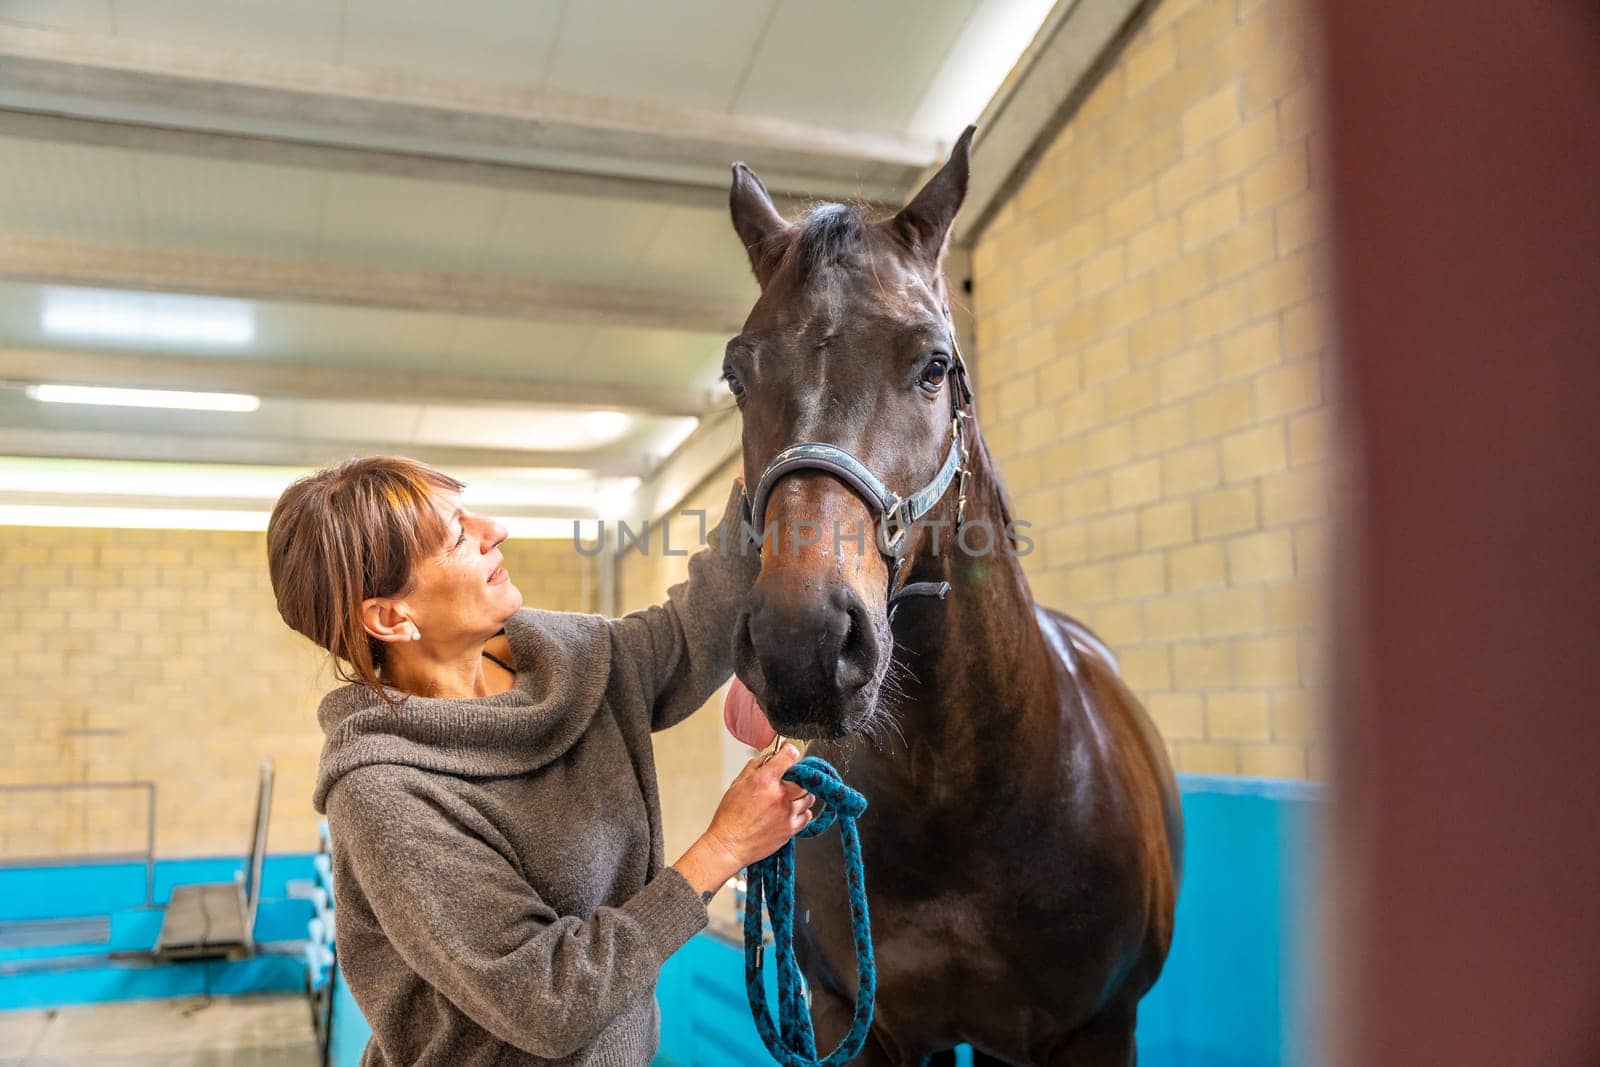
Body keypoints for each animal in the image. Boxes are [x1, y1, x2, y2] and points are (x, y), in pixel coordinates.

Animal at [720, 127, 1184, 1067]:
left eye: (935, 365)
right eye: (737, 376)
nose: (802, 641)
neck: (963, 796)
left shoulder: (1095, 1029)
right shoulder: (858, 1023)